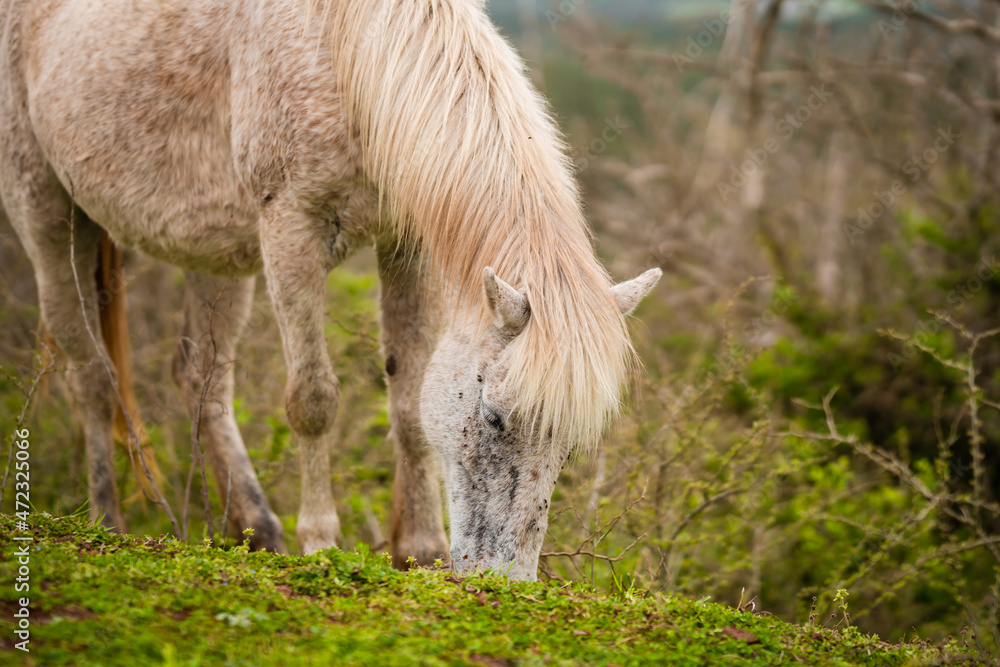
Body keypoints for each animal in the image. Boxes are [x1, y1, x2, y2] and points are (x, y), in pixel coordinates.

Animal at [0, 0, 660, 580]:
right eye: (494, 418)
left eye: (568, 446)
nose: (506, 582)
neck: (346, 57)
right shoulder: (291, 230)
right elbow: (313, 401)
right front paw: (319, 543)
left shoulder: (406, 243)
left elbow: (408, 401)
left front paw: (419, 550)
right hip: (48, 216)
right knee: (91, 375)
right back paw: (107, 521)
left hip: (213, 254)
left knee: (200, 382)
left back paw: (258, 532)